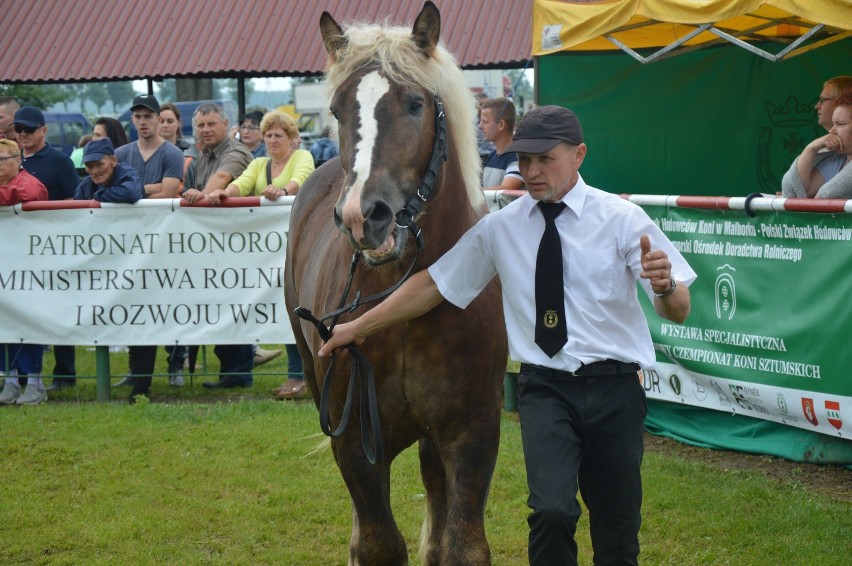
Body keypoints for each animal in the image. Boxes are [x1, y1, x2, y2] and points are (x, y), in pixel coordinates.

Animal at [286, 2, 510, 564]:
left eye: (414, 104)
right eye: (338, 110)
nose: (363, 216)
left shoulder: (472, 435)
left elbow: (462, 544)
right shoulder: (355, 441)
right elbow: (378, 543)